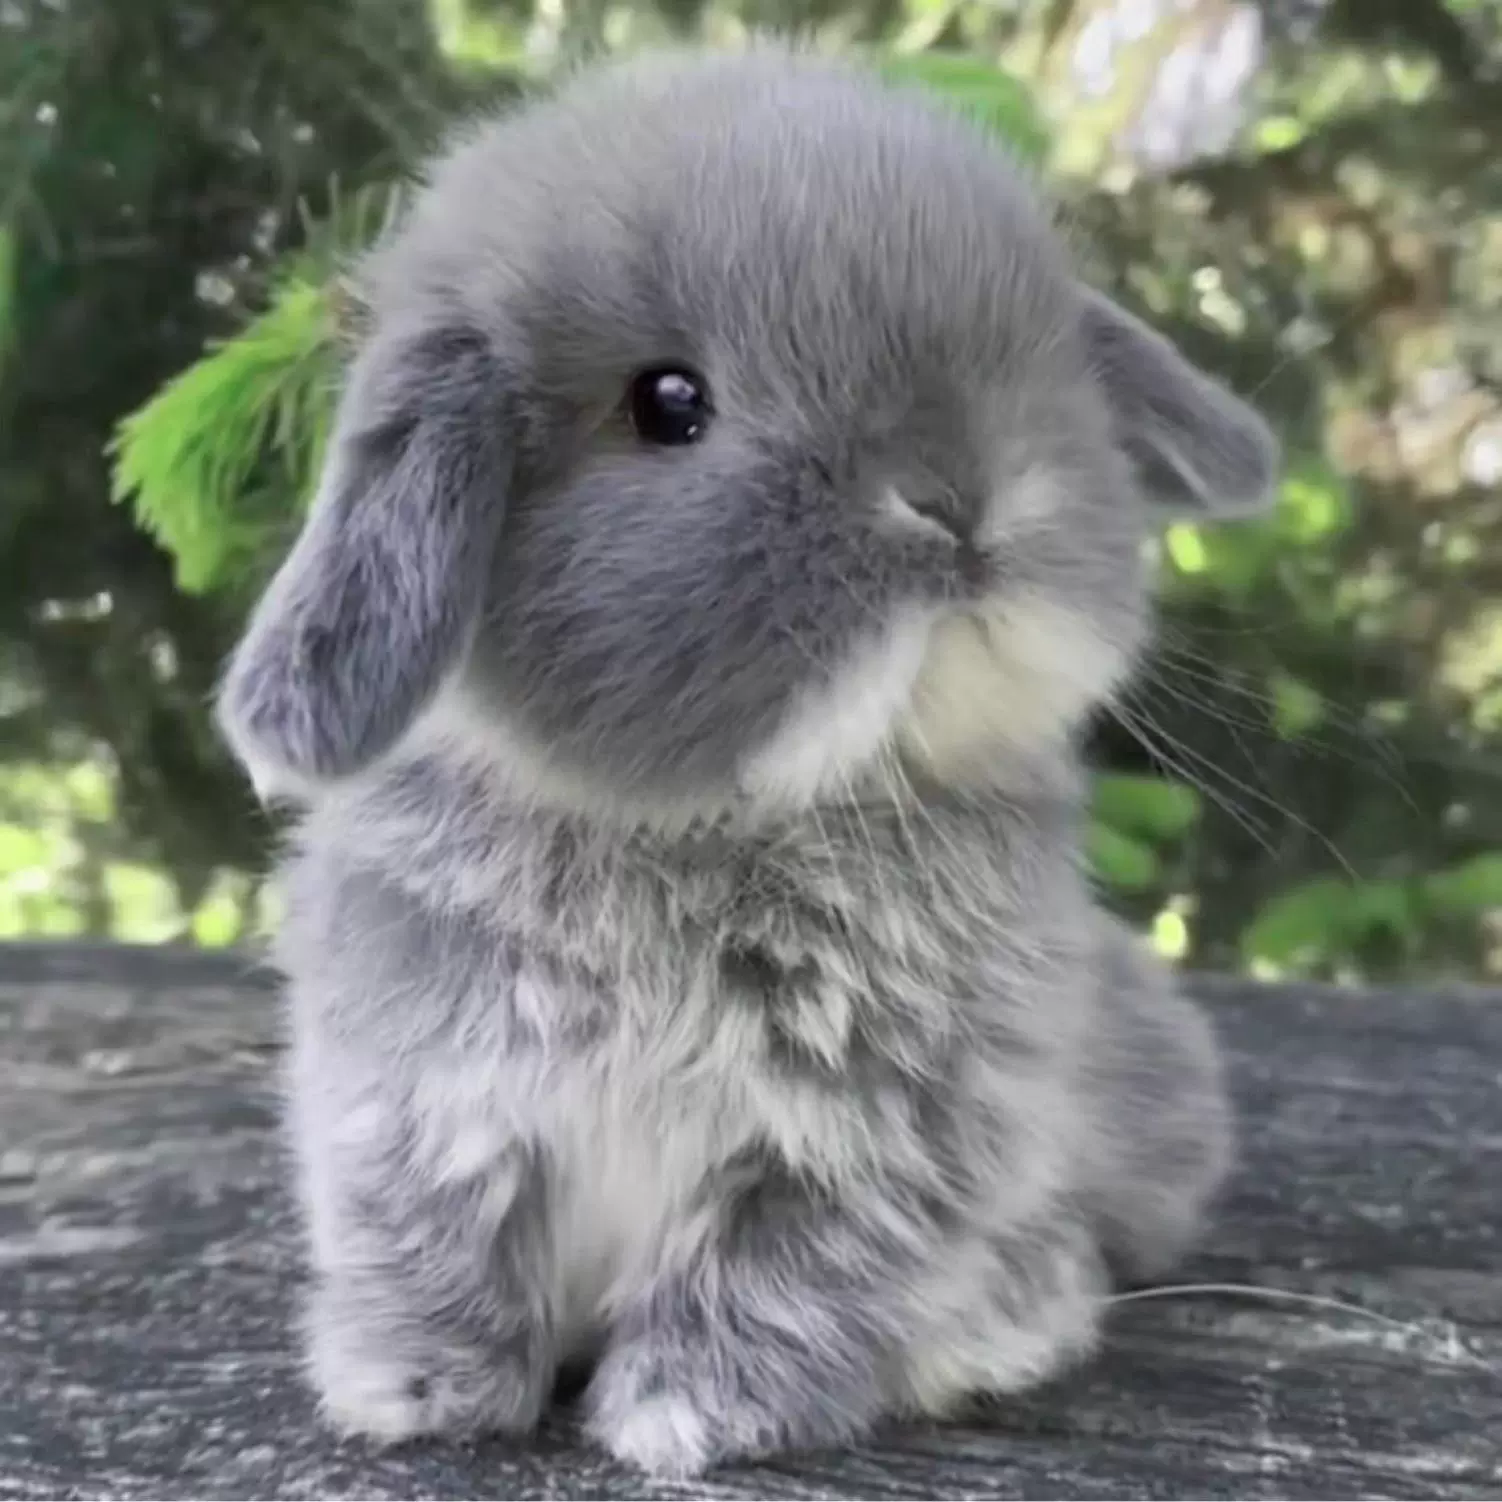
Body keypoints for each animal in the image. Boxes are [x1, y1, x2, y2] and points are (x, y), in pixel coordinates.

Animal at [216, 41, 1275, 1479]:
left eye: (1042, 363)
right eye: (670, 403)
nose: (957, 497)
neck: (710, 823)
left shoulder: (870, 1145)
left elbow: (777, 1276)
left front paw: (683, 1414)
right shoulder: (418, 1094)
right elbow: (434, 1237)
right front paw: (417, 1389)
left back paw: (1002, 1324)